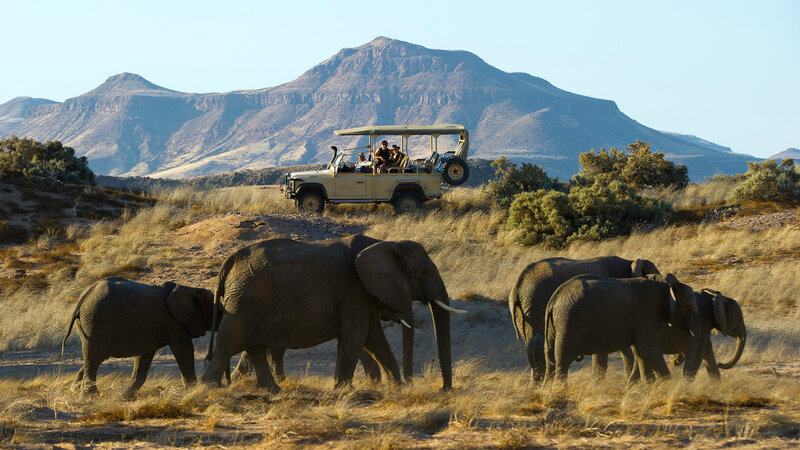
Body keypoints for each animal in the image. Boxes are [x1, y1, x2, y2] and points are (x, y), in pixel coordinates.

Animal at [61, 278, 216, 398]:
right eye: (213, 309)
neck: (190, 289)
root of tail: (82, 299)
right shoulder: (173, 322)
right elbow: (184, 350)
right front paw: (193, 390)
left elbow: (143, 358)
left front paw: (124, 397)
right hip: (96, 320)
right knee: (94, 359)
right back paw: (89, 396)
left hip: (89, 323)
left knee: (94, 357)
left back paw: (75, 389)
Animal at [202, 234, 462, 392]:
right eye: (424, 272)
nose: (444, 389)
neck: (387, 243)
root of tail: (229, 262)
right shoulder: (353, 288)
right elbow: (357, 334)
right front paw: (344, 391)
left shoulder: (361, 294)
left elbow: (373, 338)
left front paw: (394, 388)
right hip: (245, 300)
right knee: (230, 341)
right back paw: (208, 388)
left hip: (249, 301)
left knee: (254, 345)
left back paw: (273, 390)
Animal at [506, 255, 664, 382]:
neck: (631, 262)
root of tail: (517, 286)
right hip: (536, 303)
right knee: (539, 341)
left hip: (526, 310)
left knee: (534, 343)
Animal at [544, 274, 700, 384]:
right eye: (688, 309)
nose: (677, 363)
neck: (666, 286)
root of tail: (554, 298)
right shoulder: (649, 313)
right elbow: (647, 350)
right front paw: (668, 387)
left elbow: (641, 353)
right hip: (570, 319)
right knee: (564, 358)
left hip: (559, 323)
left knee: (550, 357)